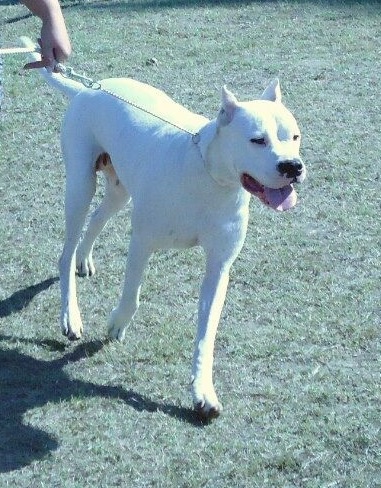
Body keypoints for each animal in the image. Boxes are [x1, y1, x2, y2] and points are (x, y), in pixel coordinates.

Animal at [28, 53, 304, 420]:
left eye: (295, 136)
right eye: (257, 140)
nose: (293, 166)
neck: (209, 177)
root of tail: (88, 88)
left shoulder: (218, 267)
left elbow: (206, 331)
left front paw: (203, 392)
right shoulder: (142, 241)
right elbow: (132, 296)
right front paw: (116, 324)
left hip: (119, 191)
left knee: (97, 218)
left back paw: (84, 258)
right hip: (79, 184)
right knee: (65, 251)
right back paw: (70, 315)